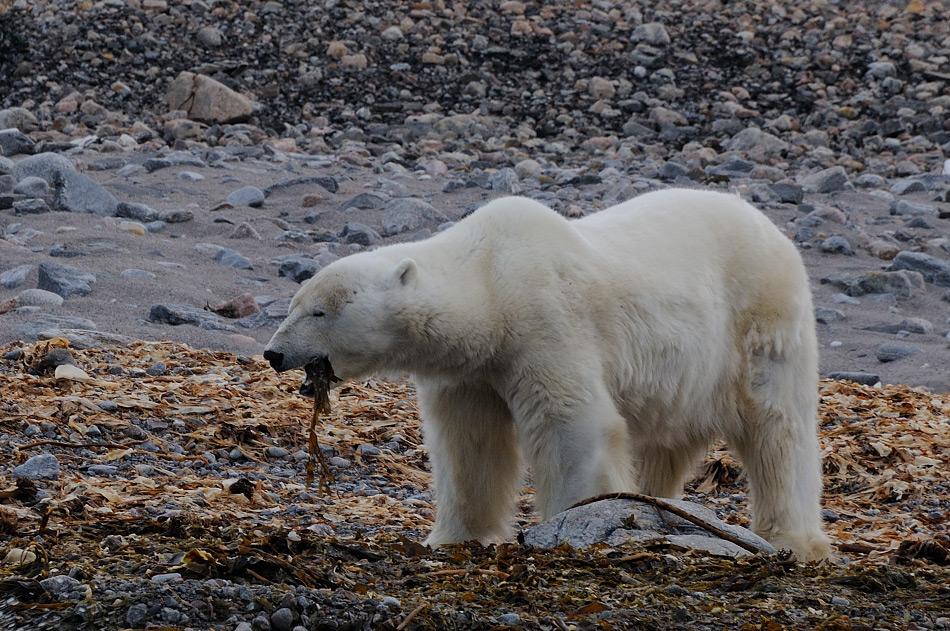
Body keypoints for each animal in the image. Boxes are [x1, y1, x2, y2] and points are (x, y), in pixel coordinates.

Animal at [262, 190, 832, 560]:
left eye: (320, 311)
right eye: (294, 303)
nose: (273, 352)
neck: (489, 282)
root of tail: (772, 229)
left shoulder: (545, 321)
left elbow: (570, 423)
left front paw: (576, 522)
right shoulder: (469, 371)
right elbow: (470, 444)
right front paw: (458, 536)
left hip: (758, 323)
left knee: (778, 428)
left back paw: (791, 537)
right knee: (666, 440)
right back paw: (659, 505)